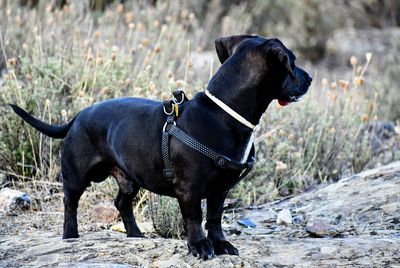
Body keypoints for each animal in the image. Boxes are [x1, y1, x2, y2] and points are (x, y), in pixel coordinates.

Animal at [8, 35, 310, 260]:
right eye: (292, 63)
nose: (309, 78)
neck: (222, 114)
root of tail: (78, 116)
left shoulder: (219, 190)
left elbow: (214, 218)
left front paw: (221, 244)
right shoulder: (189, 190)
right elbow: (195, 218)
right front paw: (200, 247)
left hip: (129, 179)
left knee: (121, 203)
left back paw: (135, 235)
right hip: (76, 176)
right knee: (70, 203)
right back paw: (70, 236)